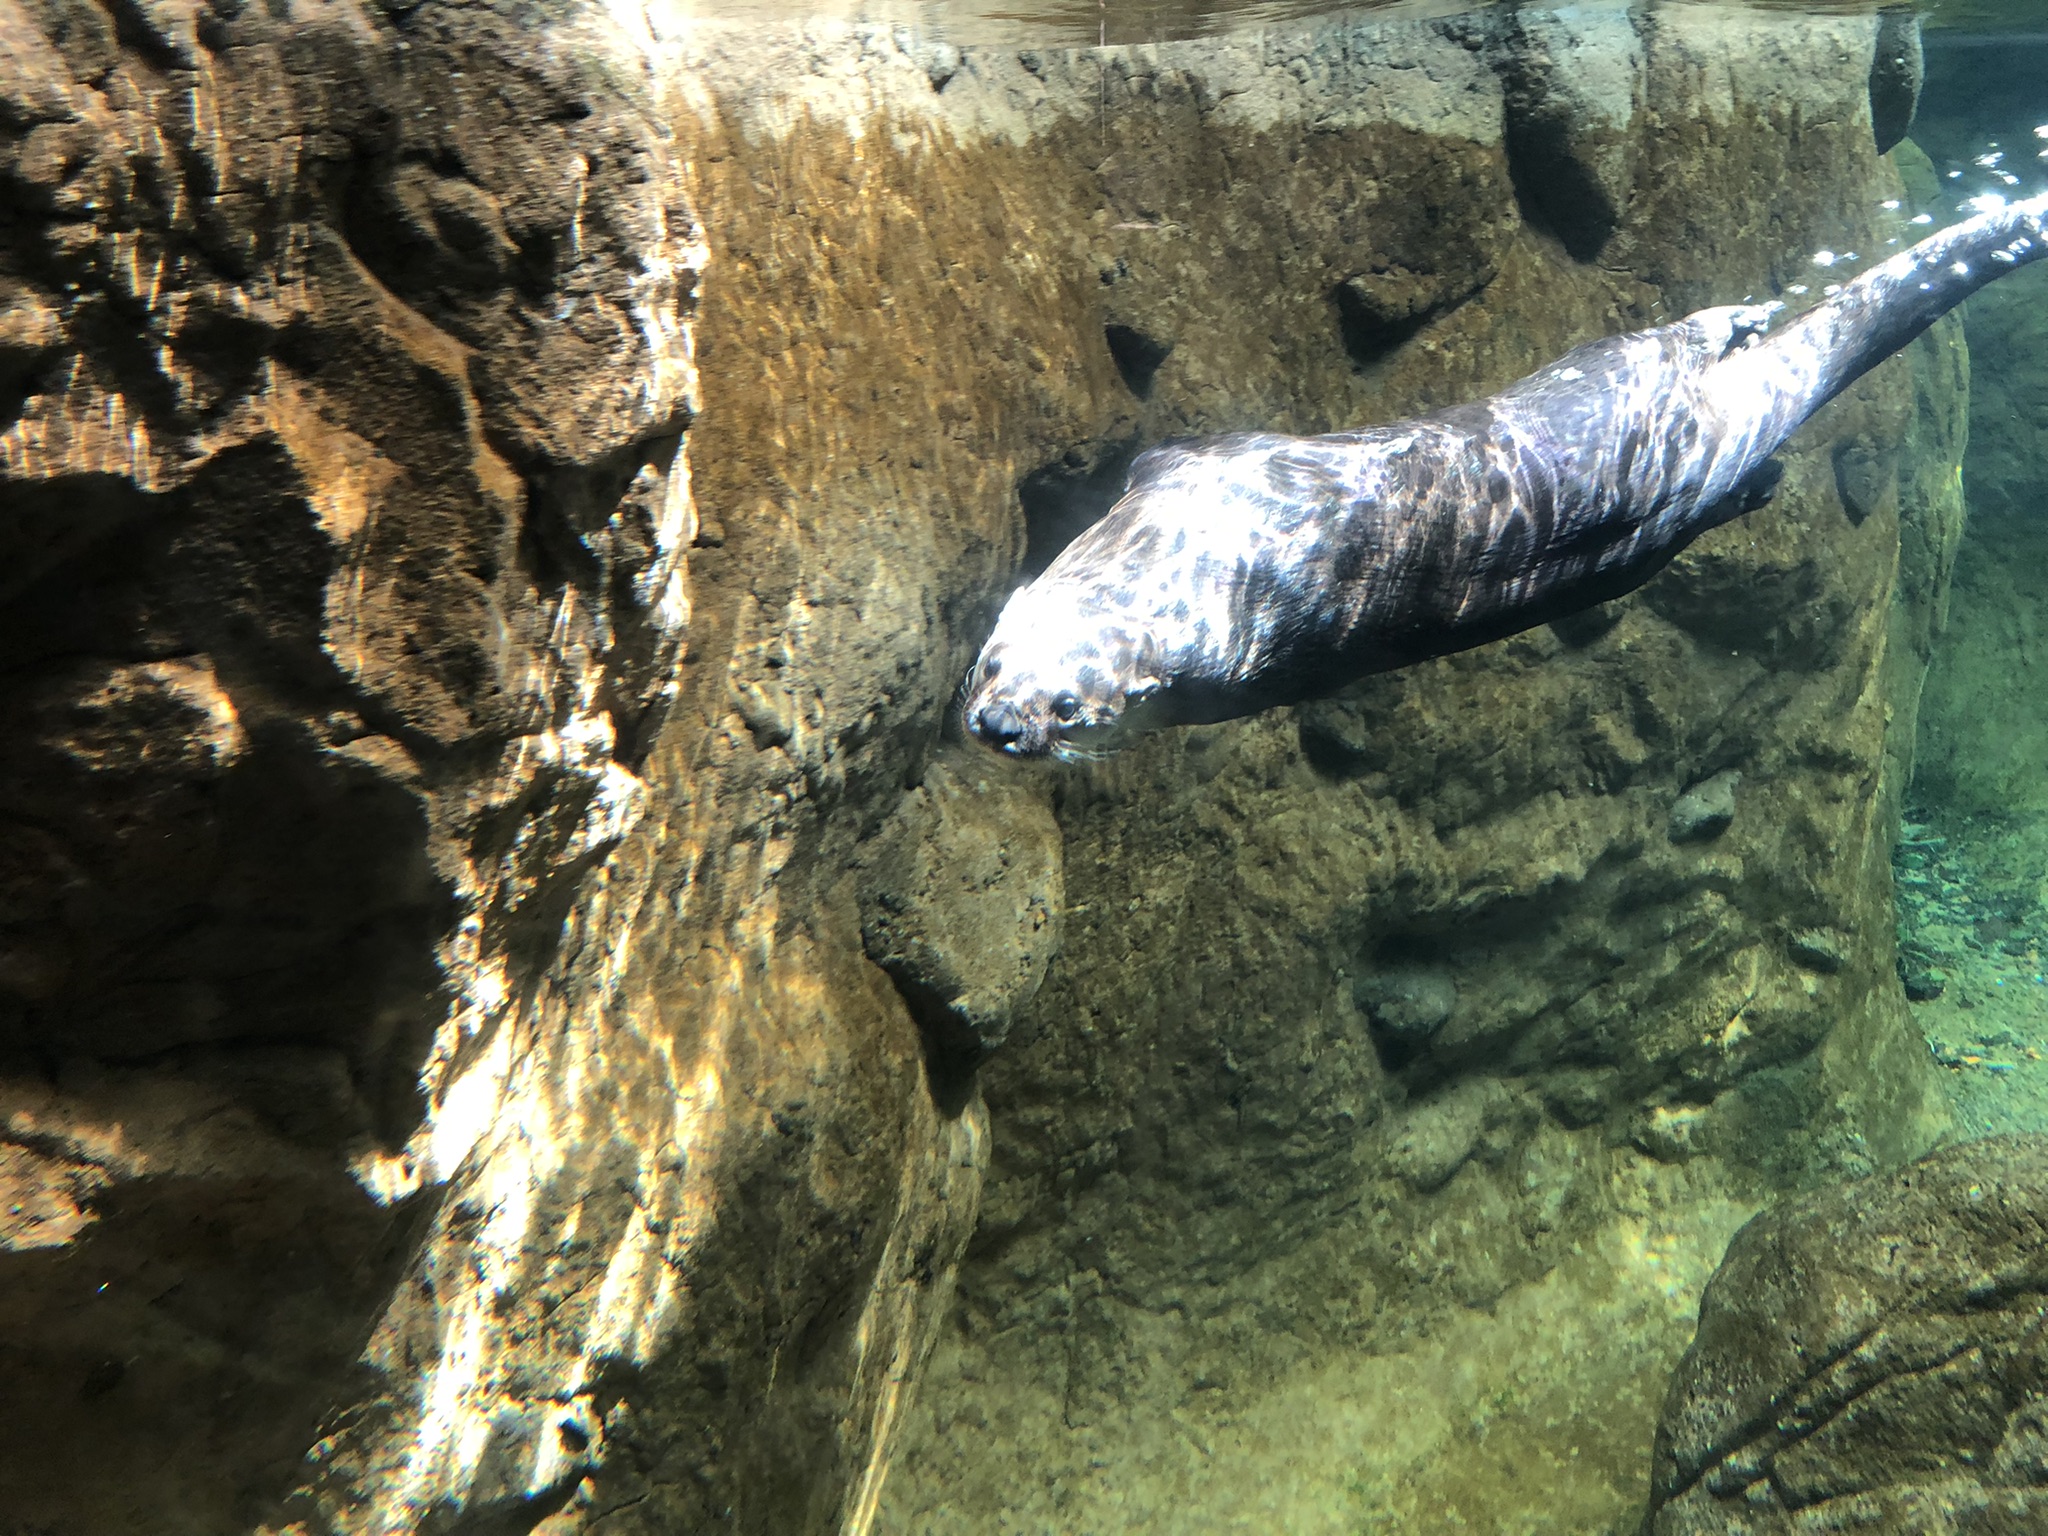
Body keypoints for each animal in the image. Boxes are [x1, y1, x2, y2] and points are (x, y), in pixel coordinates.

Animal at [963, 193, 2048, 761]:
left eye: (1071, 707)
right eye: (990, 666)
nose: (1001, 725)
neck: (1175, 553)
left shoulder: (1219, 487)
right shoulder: (1178, 483)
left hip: (1615, 371)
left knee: (1679, 340)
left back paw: (1735, 315)